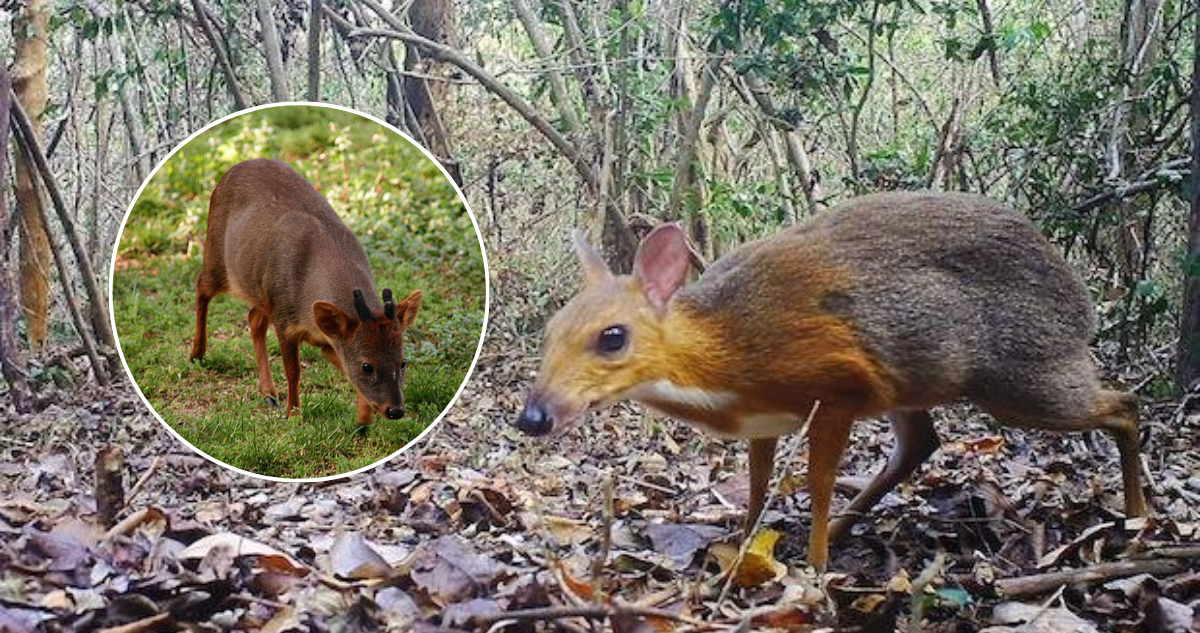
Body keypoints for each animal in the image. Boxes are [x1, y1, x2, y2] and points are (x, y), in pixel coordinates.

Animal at [190, 159, 421, 429]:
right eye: (367, 366)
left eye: (403, 362)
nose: (396, 410)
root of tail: (232, 170)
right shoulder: (284, 320)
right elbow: (294, 371)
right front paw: (294, 415)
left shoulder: (329, 338)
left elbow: (344, 370)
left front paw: (363, 421)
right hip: (219, 257)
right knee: (201, 286)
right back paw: (197, 352)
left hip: (261, 289)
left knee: (253, 319)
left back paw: (268, 393)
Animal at [516, 191, 1149, 571]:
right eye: (550, 330)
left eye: (612, 336)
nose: (533, 416)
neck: (725, 351)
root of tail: (1081, 297)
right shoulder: (765, 420)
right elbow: (756, 484)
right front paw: (745, 547)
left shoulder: (839, 386)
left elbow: (819, 482)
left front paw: (816, 568)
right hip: (914, 384)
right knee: (921, 444)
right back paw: (849, 528)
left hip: (1025, 374)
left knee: (1124, 402)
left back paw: (1139, 514)